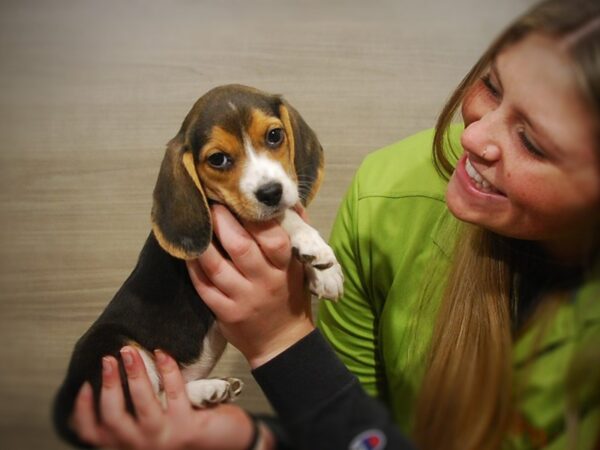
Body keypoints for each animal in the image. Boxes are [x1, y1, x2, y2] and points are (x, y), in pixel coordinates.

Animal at [54, 83, 344, 446]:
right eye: (218, 159)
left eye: (275, 136)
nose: (271, 192)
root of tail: (65, 406)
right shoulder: (217, 233)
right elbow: (281, 219)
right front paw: (312, 243)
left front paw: (326, 275)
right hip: (113, 349)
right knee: (151, 401)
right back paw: (206, 391)